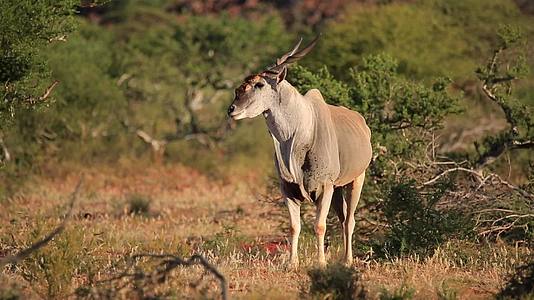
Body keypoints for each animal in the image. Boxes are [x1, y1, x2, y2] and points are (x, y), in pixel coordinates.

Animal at [228, 35, 374, 268]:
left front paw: (321, 263)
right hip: (337, 189)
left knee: (349, 220)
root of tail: (363, 124)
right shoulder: (288, 189)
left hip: (356, 179)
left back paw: (347, 261)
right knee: (343, 219)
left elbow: (320, 226)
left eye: (259, 84)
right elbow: (294, 227)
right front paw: (291, 263)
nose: (232, 109)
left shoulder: (324, 187)